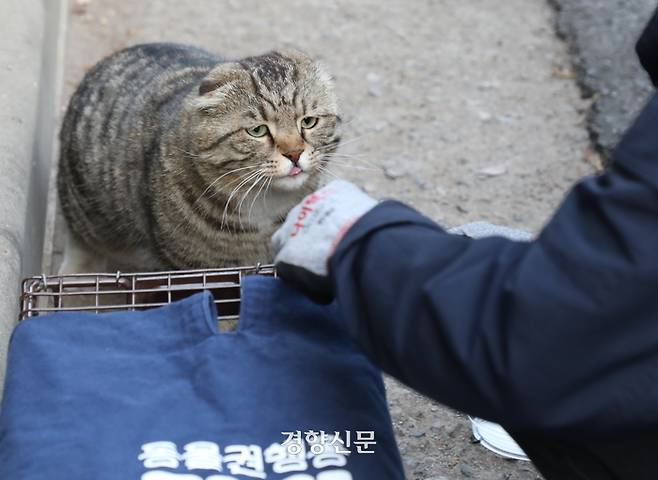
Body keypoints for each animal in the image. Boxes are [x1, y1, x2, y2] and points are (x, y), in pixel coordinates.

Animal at [57, 44, 338, 274]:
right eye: (257, 130)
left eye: (308, 122)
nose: (294, 153)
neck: (266, 206)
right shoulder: (189, 266)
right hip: (84, 206)